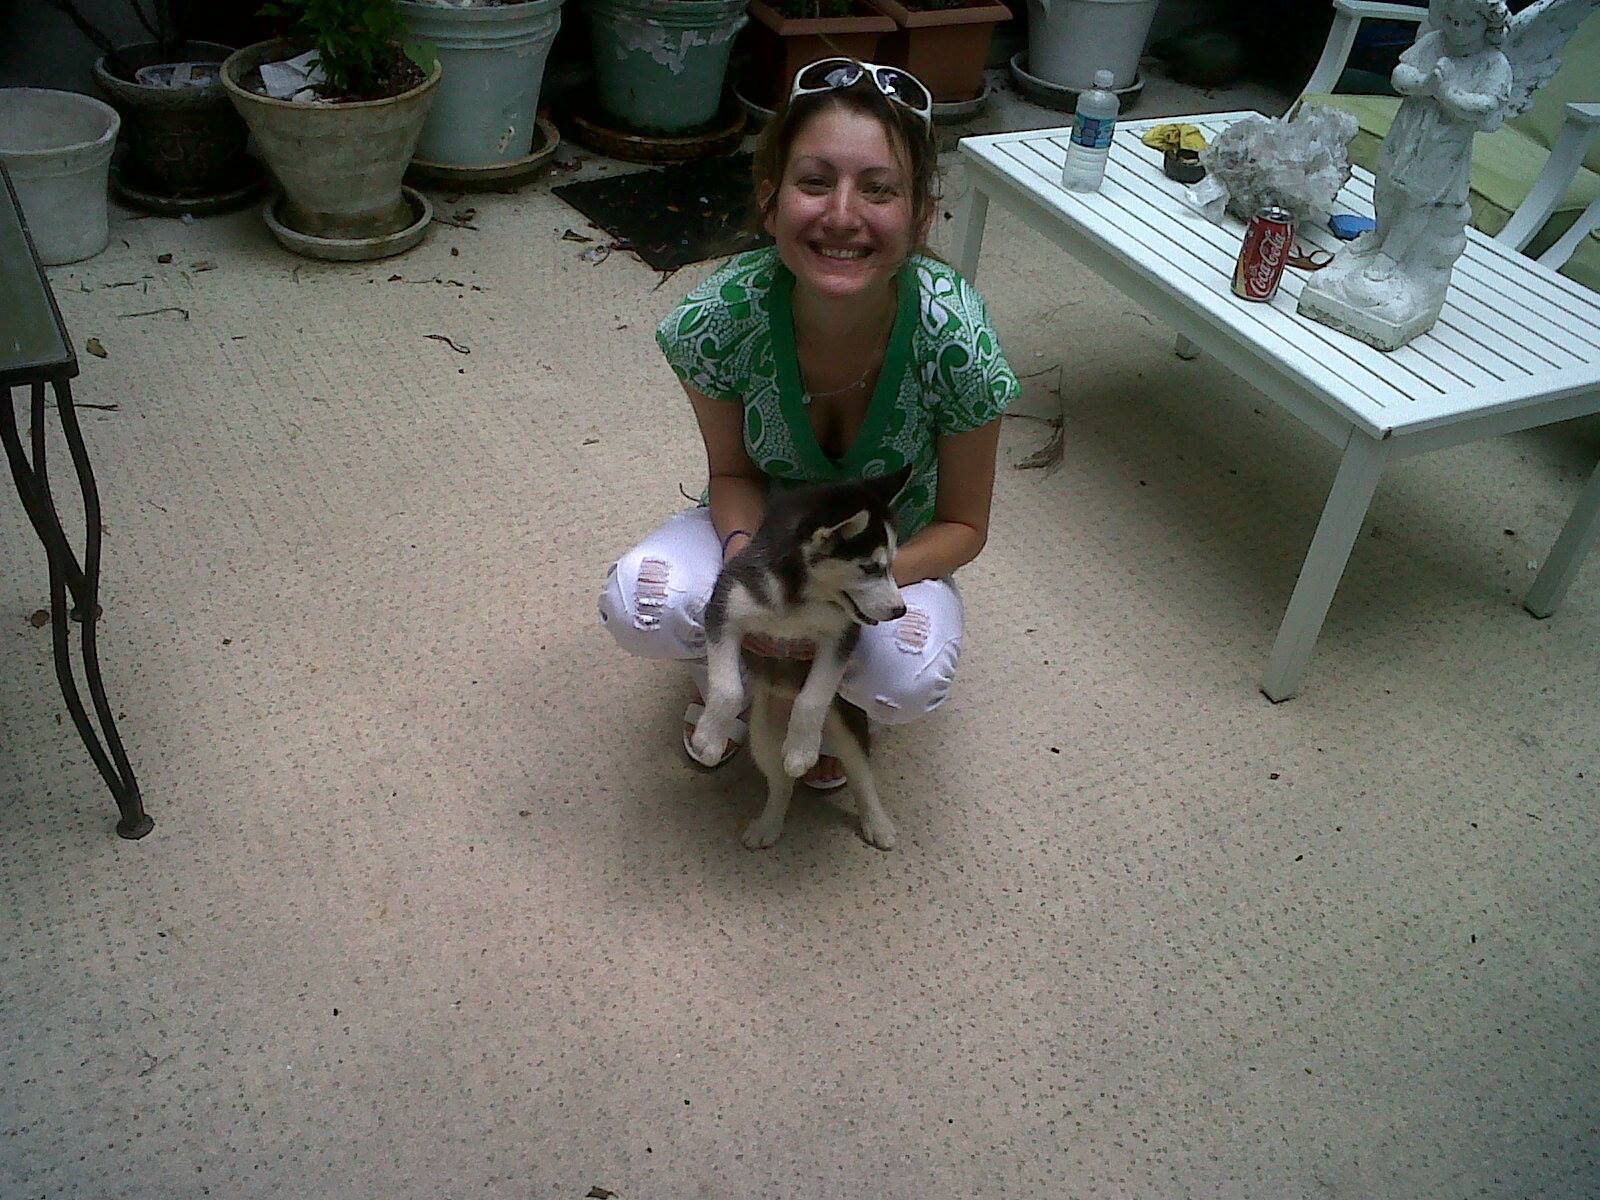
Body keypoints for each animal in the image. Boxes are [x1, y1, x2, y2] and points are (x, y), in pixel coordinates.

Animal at [689, 467, 912, 850]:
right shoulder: (724, 612)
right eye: (869, 567)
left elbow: (812, 698)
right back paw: (768, 824)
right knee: (781, 783)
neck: (801, 598)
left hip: (847, 721)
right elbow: (728, 689)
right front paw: (710, 738)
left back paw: (877, 823)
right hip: (762, 734)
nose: (900, 610)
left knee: (861, 775)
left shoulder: (840, 638)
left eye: (891, 565)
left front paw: (801, 751)